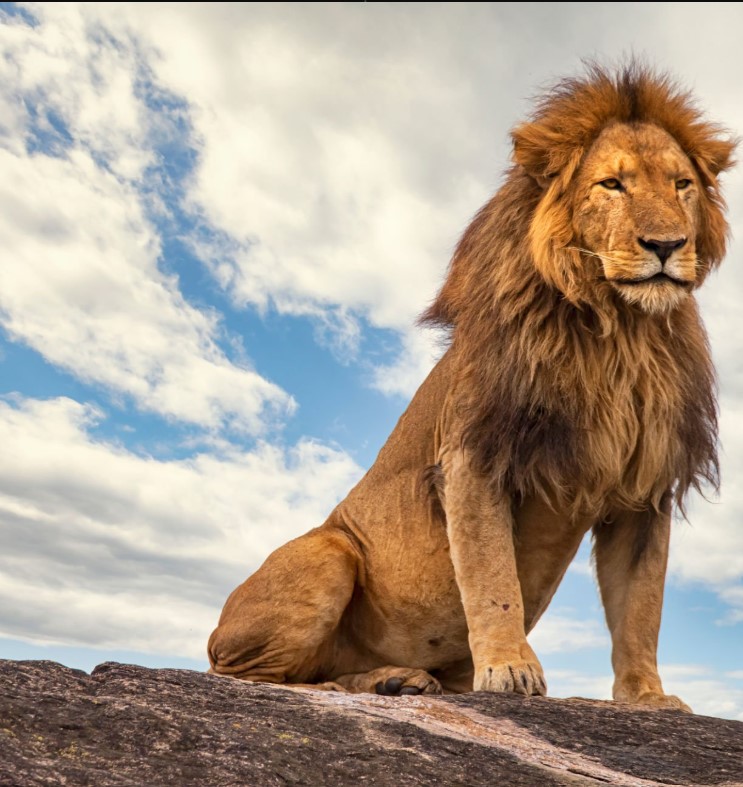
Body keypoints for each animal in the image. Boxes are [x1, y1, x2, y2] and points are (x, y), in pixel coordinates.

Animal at [208, 63, 736, 710]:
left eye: (682, 184)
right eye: (612, 184)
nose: (666, 246)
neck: (620, 333)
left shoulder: (645, 489)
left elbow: (641, 607)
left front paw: (647, 697)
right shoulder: (474, 457)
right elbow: (492, 579)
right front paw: (510, 670)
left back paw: (398, 678)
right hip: (326, 554)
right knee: (256, 676)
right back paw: (371, 681)